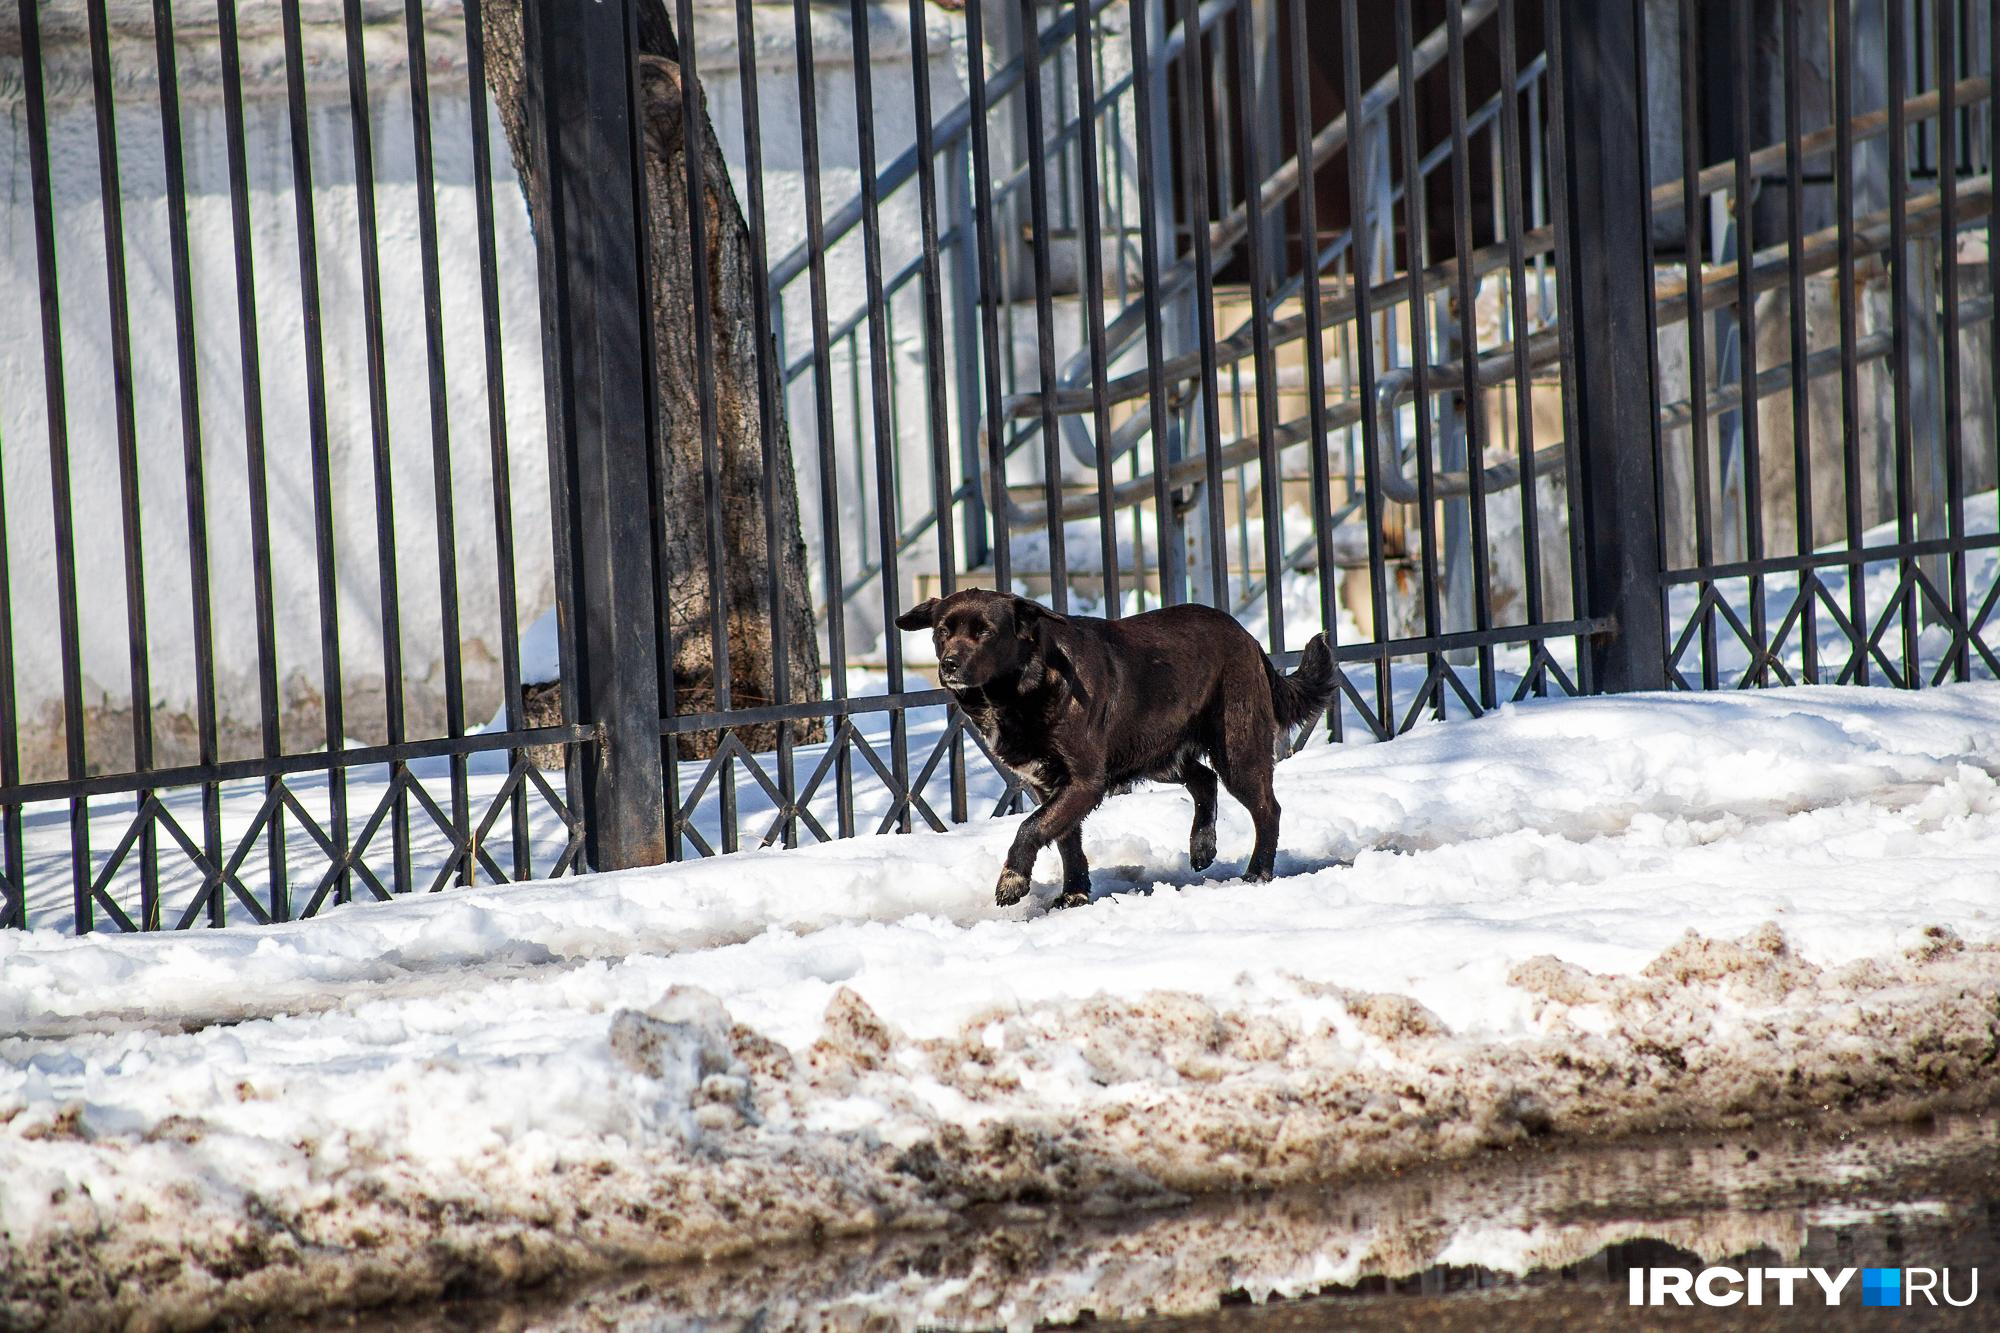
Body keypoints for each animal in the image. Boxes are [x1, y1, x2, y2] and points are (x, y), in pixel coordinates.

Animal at [900, 588, 1336, 908]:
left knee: (1267, 809)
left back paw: (1257, 873)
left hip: (1237, 753)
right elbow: (1064, 838)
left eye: (985, 632)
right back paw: (1201, 844)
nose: (948, 665)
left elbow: (1030, 827)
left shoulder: (1084, 782)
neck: (1021, 687)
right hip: (1156, 753)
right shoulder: (1050, 785)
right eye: (942, 631)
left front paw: (1013, 880)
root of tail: (1248, 637)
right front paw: (1074, 892)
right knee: (1203, 779)